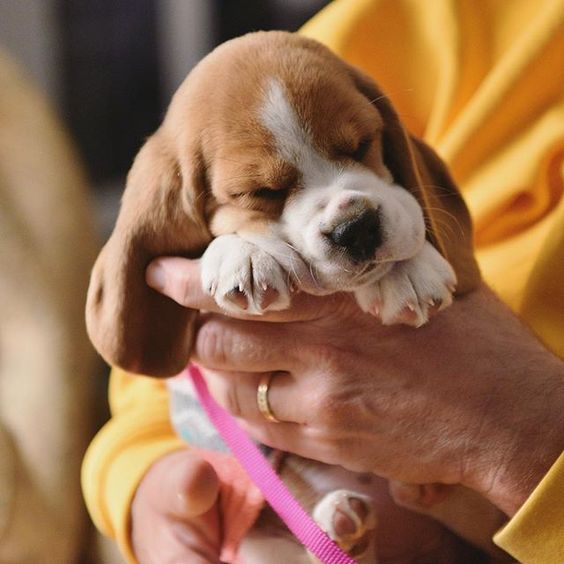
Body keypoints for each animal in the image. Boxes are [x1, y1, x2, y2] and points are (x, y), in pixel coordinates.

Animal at [86, 33, 508, 560]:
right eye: (261, 192)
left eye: (362, 144)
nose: (356, 227)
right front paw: (244, 253)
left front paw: (407, 271)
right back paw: (343, 525)